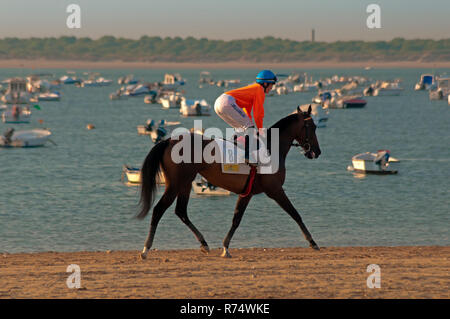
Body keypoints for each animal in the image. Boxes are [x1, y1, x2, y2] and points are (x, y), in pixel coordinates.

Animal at [136, 105, 320, 260]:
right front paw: (312, 242)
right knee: (158, 210)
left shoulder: (247, 193)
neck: (271, 148)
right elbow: (295, 213)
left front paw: (225, 248)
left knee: (181, 211)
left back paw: (204, 244)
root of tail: (169, 140)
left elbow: (236, 219)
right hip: (175, 184)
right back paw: (145, 249)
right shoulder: (275, 189)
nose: (317, 152)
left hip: (185, 183)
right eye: (312, 127)